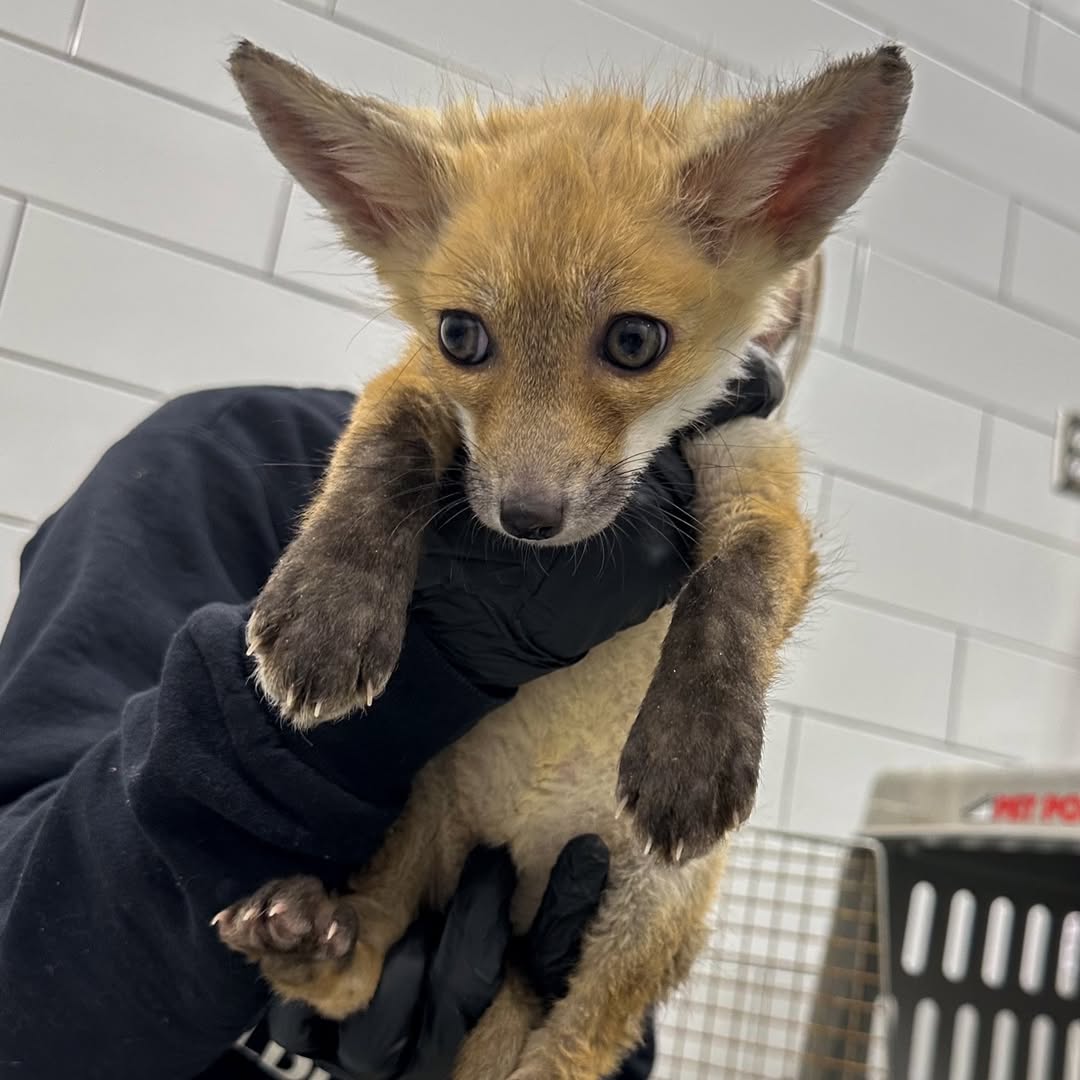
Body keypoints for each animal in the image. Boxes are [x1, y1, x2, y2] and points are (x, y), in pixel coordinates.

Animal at [214, 42, 912, 1079]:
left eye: (634, 341)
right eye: (463, 335)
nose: (526, 520)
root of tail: (525, 855)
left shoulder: (757, 474)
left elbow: (738, 585)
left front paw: (691, 745)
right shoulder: (414, 386)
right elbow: (378, 455)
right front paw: (325, 618)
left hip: (643, 919)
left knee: (571, 1046)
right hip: (421, 830)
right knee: (363, 963)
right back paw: (302, 936)